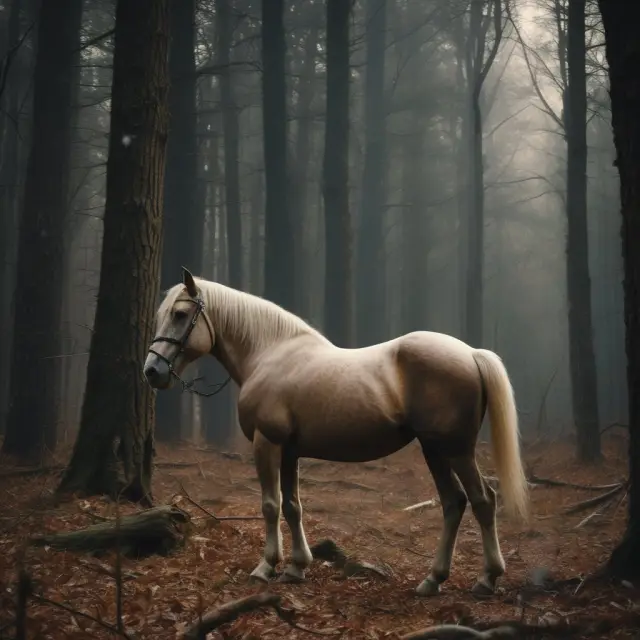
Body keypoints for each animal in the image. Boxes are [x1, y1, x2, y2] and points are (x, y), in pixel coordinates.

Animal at [144, 267, 529, 596]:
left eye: (180, 314)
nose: (152, 371)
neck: (269, 354)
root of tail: (471, 353)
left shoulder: (267, 443)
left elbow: (270, 505)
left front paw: (266, 567)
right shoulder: (289, 451)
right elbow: (292, 505)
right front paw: (296, 567)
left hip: (455, 449)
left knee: (482, 500)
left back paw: (487, 578)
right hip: (434, 449)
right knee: (453, 503)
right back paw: (433, 580)